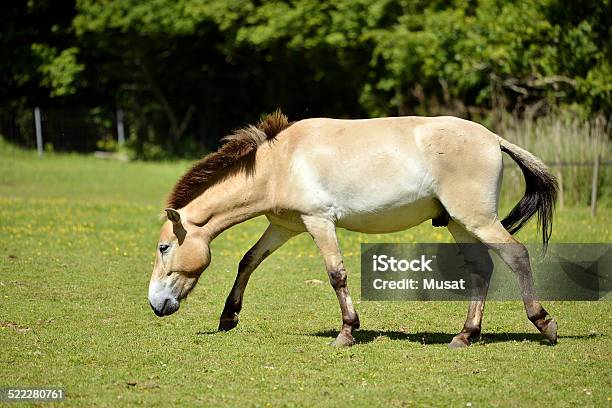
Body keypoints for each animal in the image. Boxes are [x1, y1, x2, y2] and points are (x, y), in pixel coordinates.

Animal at [149, 111, 560, 348]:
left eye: (163, 248)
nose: (155, 304)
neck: (280, 164)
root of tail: (494, 139)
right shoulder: (285, 227)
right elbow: (248, 261)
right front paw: (227, 318)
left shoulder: (319, 222)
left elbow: (336, 274)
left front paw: (346, 332)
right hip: (459, 223)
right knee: (481, 269)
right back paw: (465, 335)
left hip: (478, 220)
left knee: (516, 255)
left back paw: (544, 324)